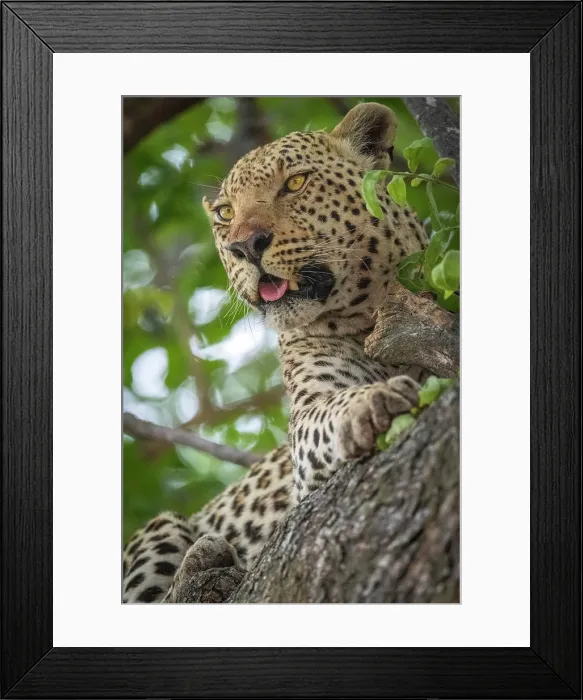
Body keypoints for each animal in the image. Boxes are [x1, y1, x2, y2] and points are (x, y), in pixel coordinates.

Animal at [123, 102, 429, 603]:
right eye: (225, 212)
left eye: (296, 183)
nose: (244, 246)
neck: (372, 316)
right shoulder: (305, 433)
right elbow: (329, 413)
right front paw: (374, 401)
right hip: (157, 530)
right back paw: (204, 561)